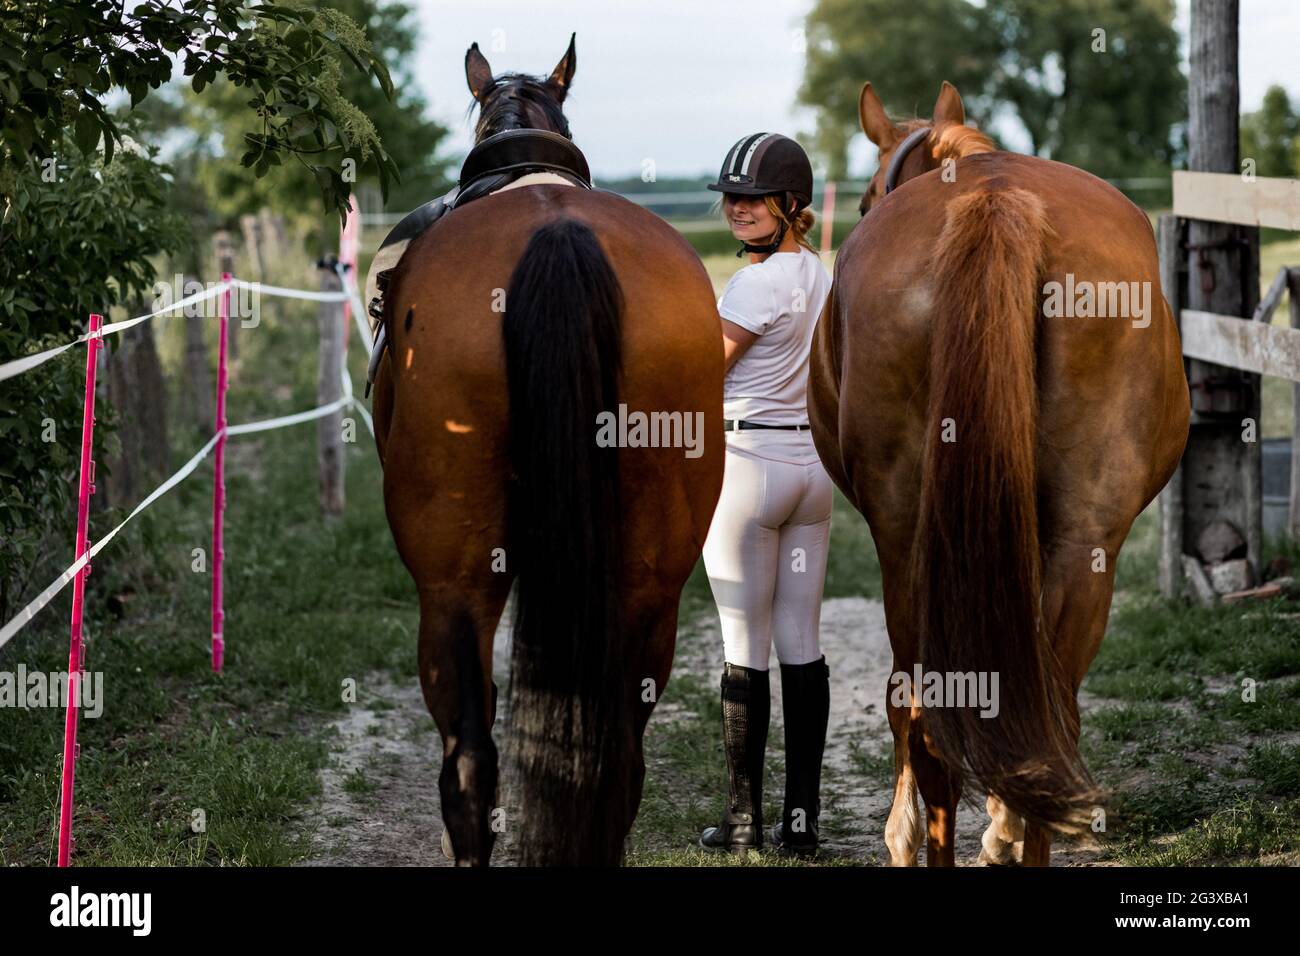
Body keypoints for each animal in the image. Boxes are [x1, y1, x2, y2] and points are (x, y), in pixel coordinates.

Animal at [808, 80, 1189, 866]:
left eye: (860, 200)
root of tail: (996, 202)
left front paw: (906, 833)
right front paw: (1001, 825)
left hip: (906, 548)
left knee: (923, 720)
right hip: (1084, 543)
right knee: (1053, 715)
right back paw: (1017, 833)